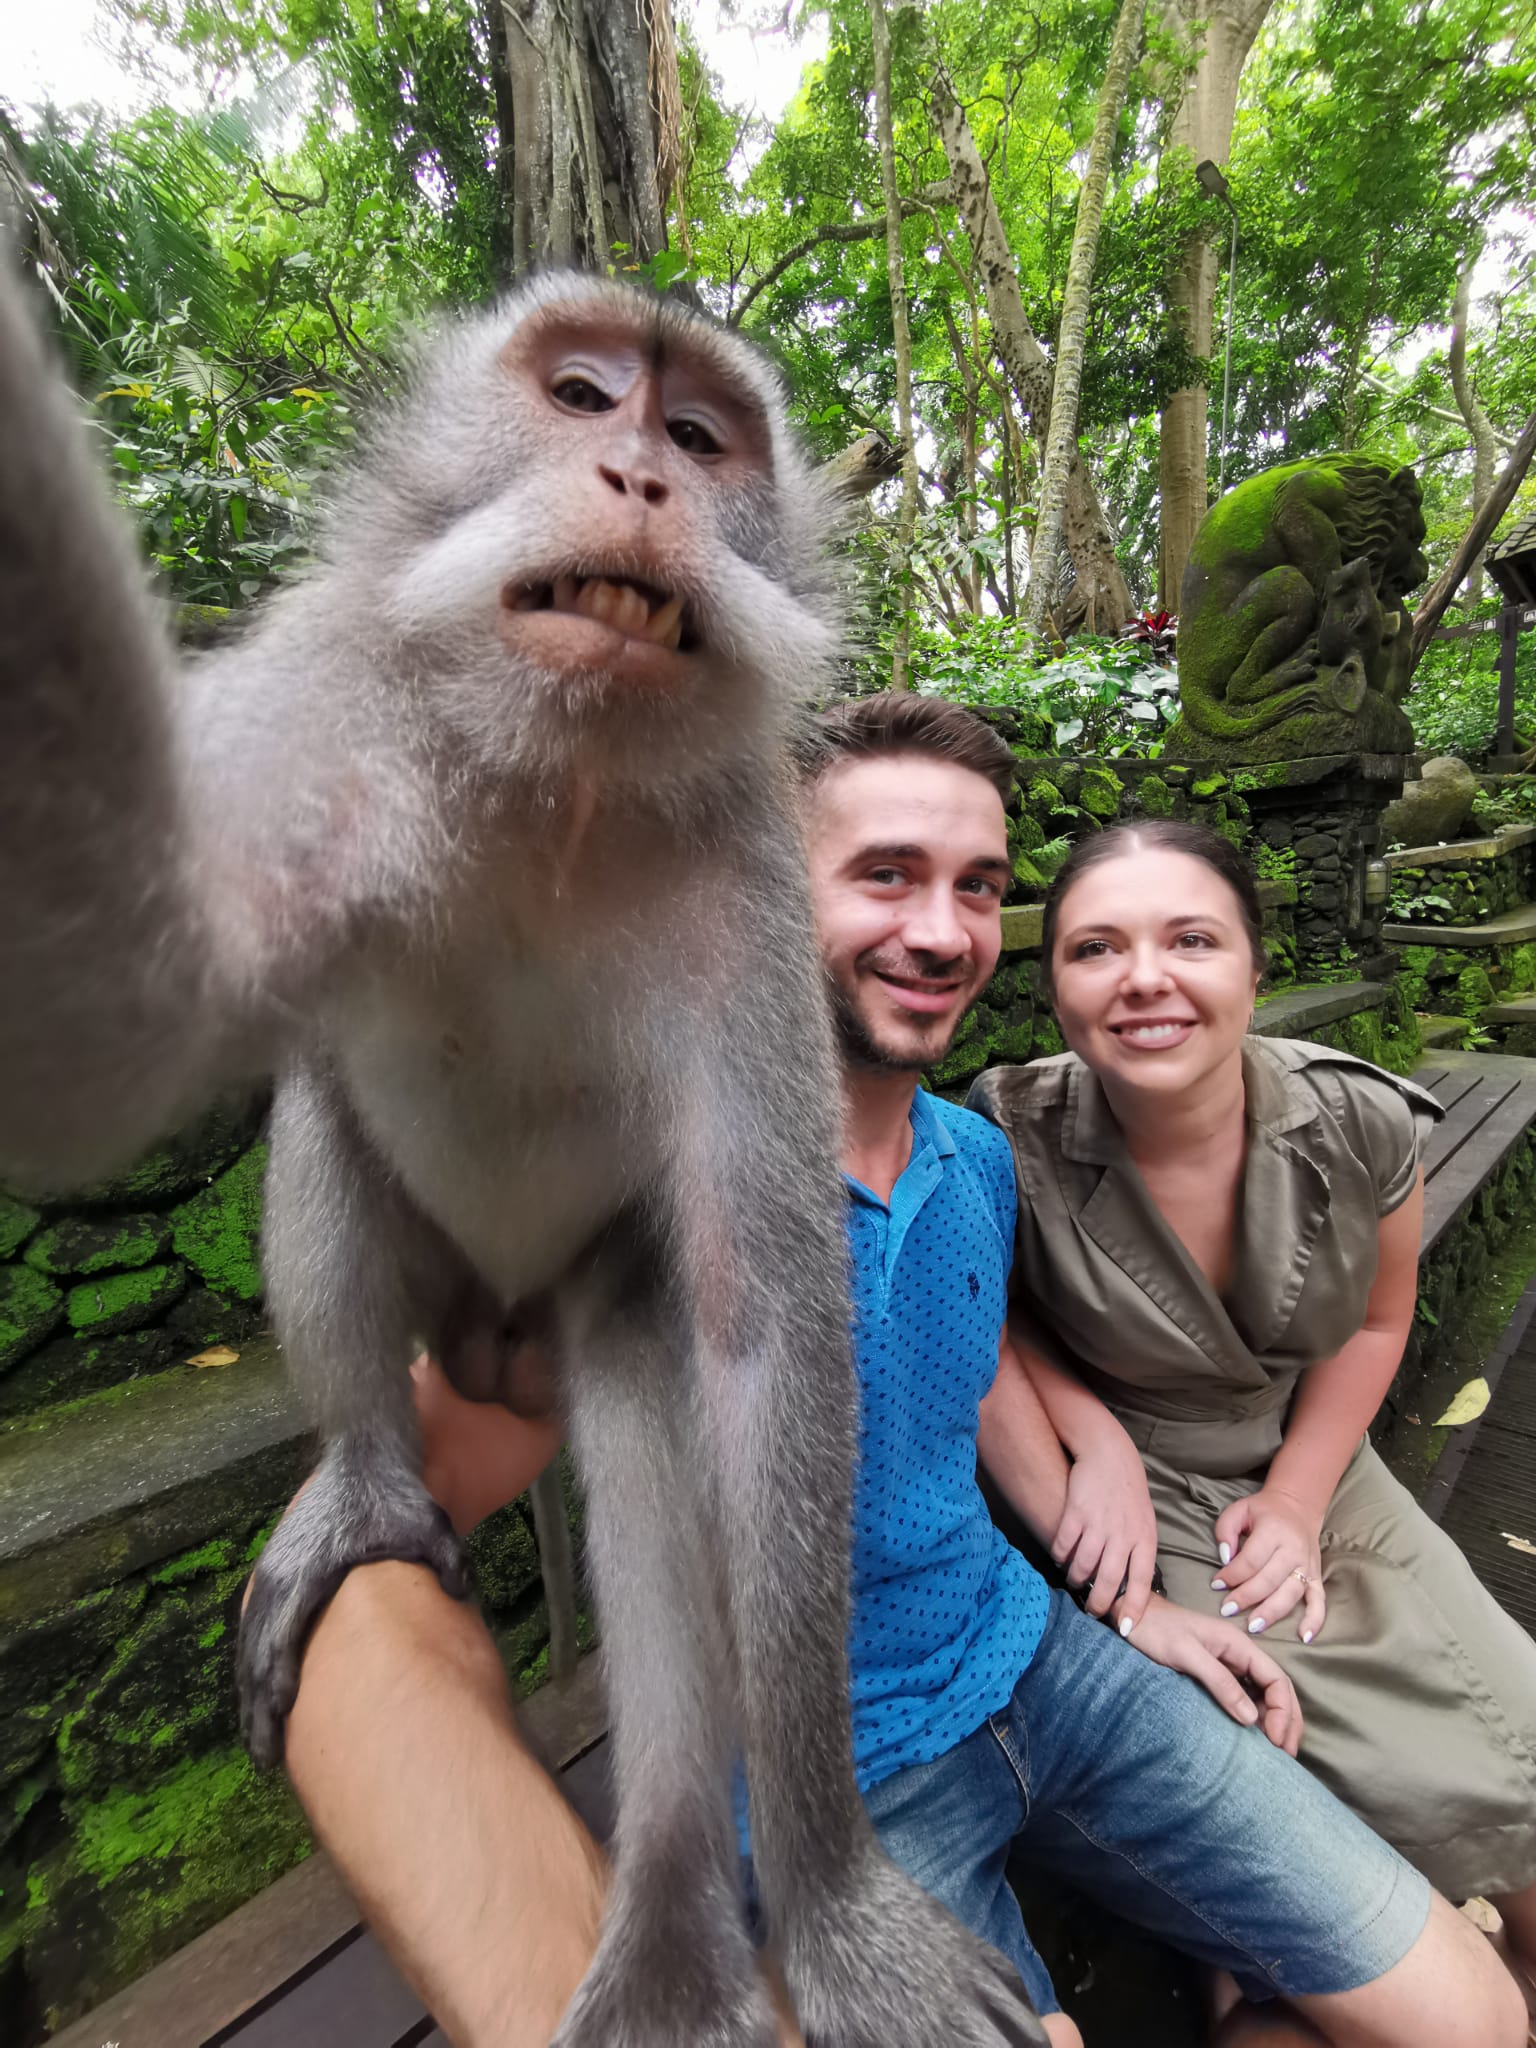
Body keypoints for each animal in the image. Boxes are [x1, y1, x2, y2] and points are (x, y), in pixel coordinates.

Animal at [0, 256, 1048, 2048]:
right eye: (578, 398)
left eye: (699, 437)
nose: (636, 475)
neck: (558, 779)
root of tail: (494, 1331)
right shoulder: (325, 687)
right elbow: (112, 1009)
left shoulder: (751, 881)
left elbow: (764, 1333)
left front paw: (838, 1907)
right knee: (319, 1127)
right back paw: (365, 1484)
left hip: (576, 1299)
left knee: (647, 1388)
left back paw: (677, 1919)